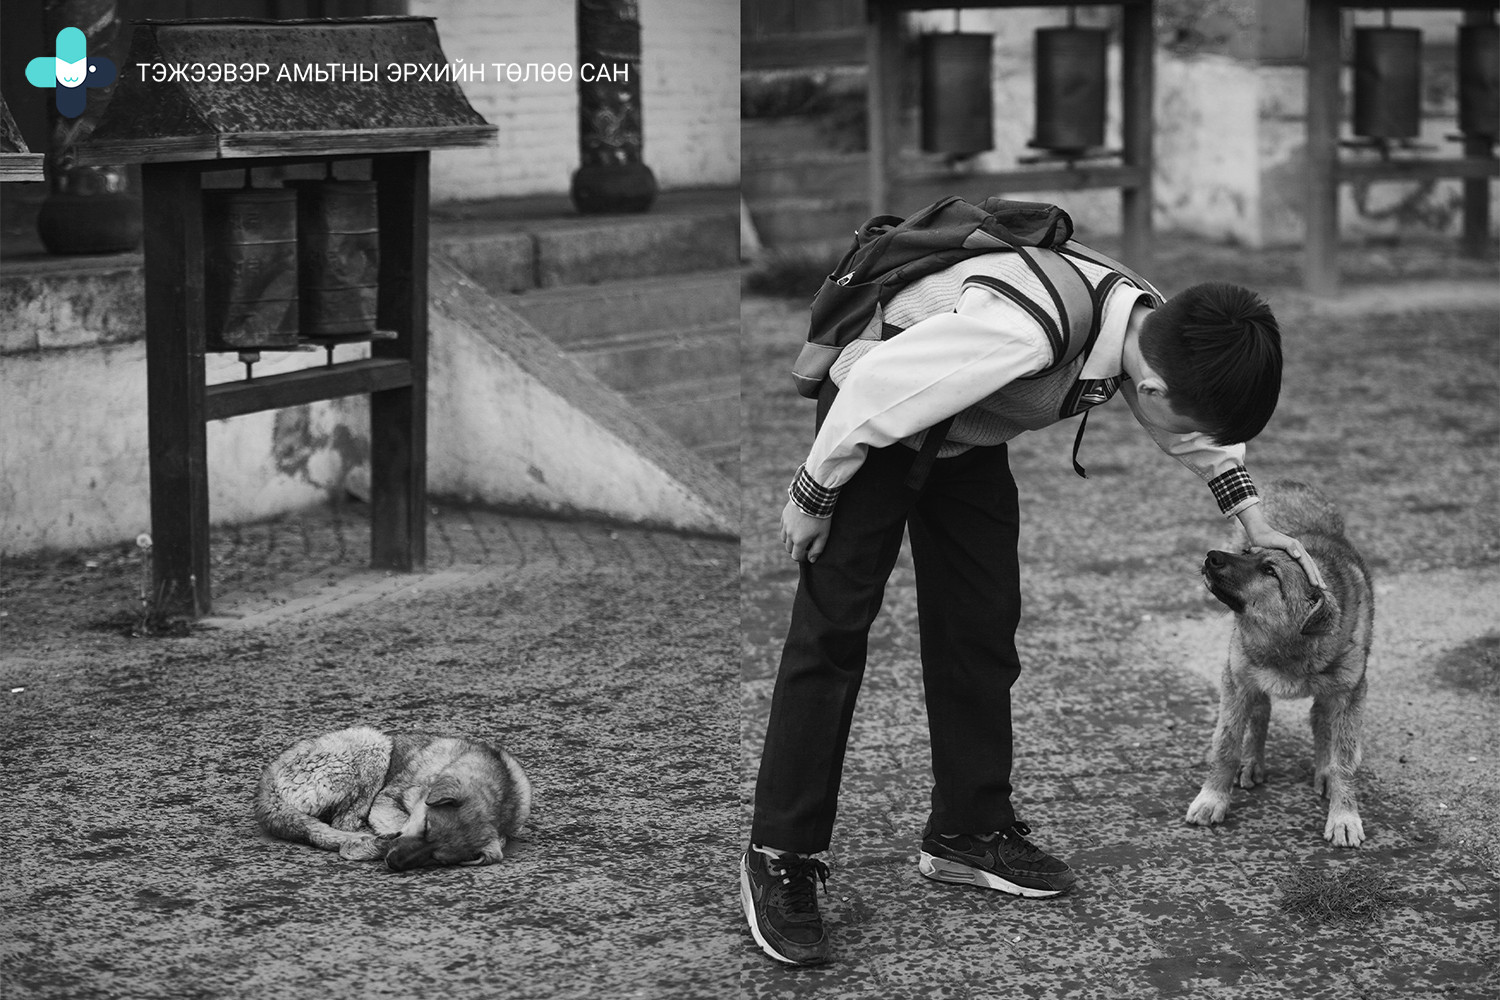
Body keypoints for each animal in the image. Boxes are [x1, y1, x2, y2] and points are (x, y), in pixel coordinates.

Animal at [258, 728, 534, 869]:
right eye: (425, 827)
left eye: (438, 859)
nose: (393, 862)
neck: (502, 790)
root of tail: (268, 778)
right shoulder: (386, 800)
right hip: (372, 742)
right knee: (344, 821)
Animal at [1188, 479, 1374, 851]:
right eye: (1247, 554)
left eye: (1270, 571)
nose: (1211, 556)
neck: (1285, 646)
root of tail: (1292, 484)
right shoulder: (1236, 680)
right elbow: (1226, 743)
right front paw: (1213, 797)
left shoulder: (1350, 693)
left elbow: (1344, 760)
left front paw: (1344, 815)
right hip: (1244, 675)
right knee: (1260, 711)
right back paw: (1251, 761)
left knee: (1319, 719)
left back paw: (1323, 771)